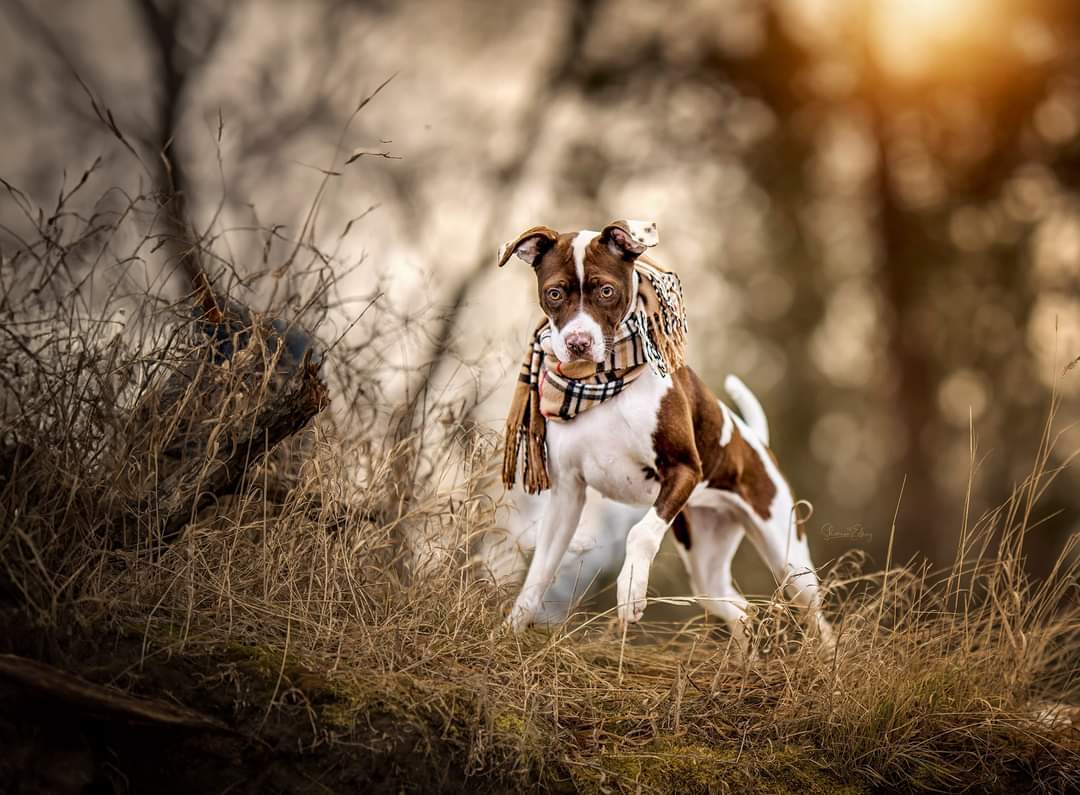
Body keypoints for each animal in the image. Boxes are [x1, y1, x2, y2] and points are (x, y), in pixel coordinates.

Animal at [498, 219, 833, 652]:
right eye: (554, 293)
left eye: (607, 290)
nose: (577, 343)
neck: (602, 385)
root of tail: (757, 442)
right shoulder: (567, 495)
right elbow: (538, 574)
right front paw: (508, 632)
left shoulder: (685, 469)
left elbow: (640, 533)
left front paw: (630, 589)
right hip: (707, 561)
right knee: (740, 610)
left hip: (789, 557)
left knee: (818, 619)